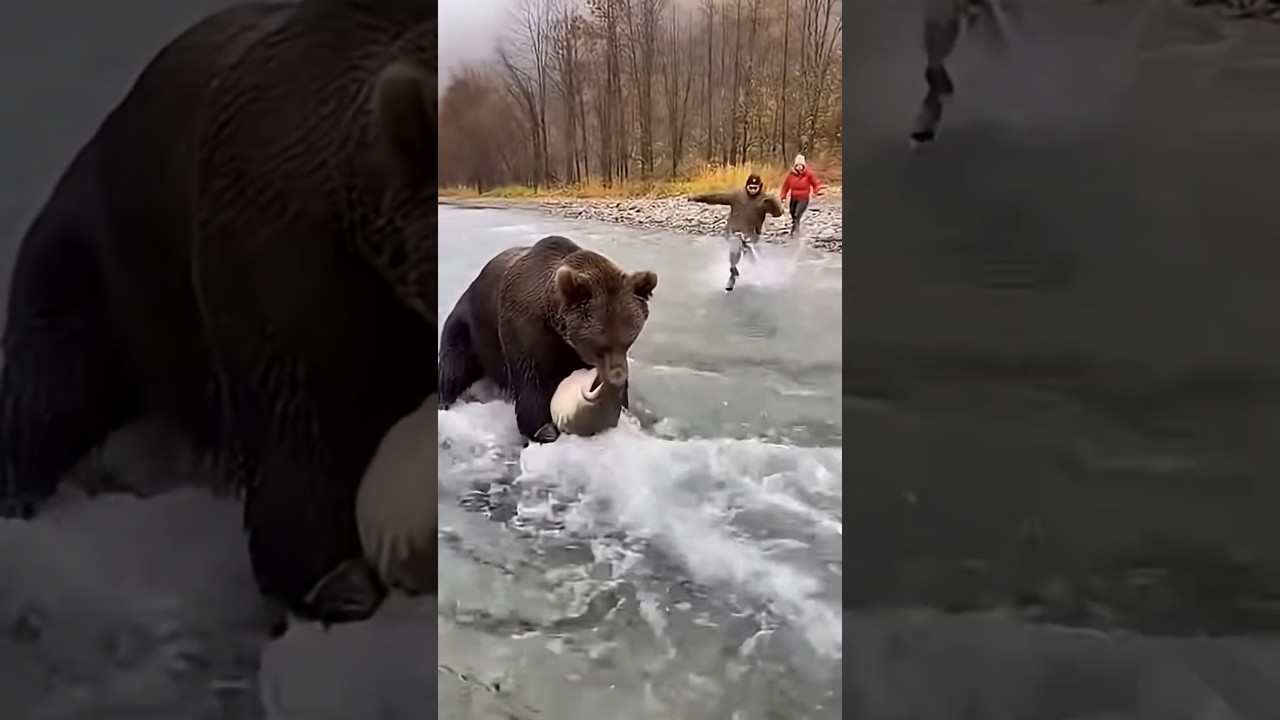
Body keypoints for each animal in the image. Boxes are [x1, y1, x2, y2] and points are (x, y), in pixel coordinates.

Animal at [438, 235, 657, 443]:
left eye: (628, 340)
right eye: (599, 345)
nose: (616, 376)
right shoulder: (524, 330)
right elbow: (532, 382)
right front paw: (544, 430)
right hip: (469, 326)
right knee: (453, 368)